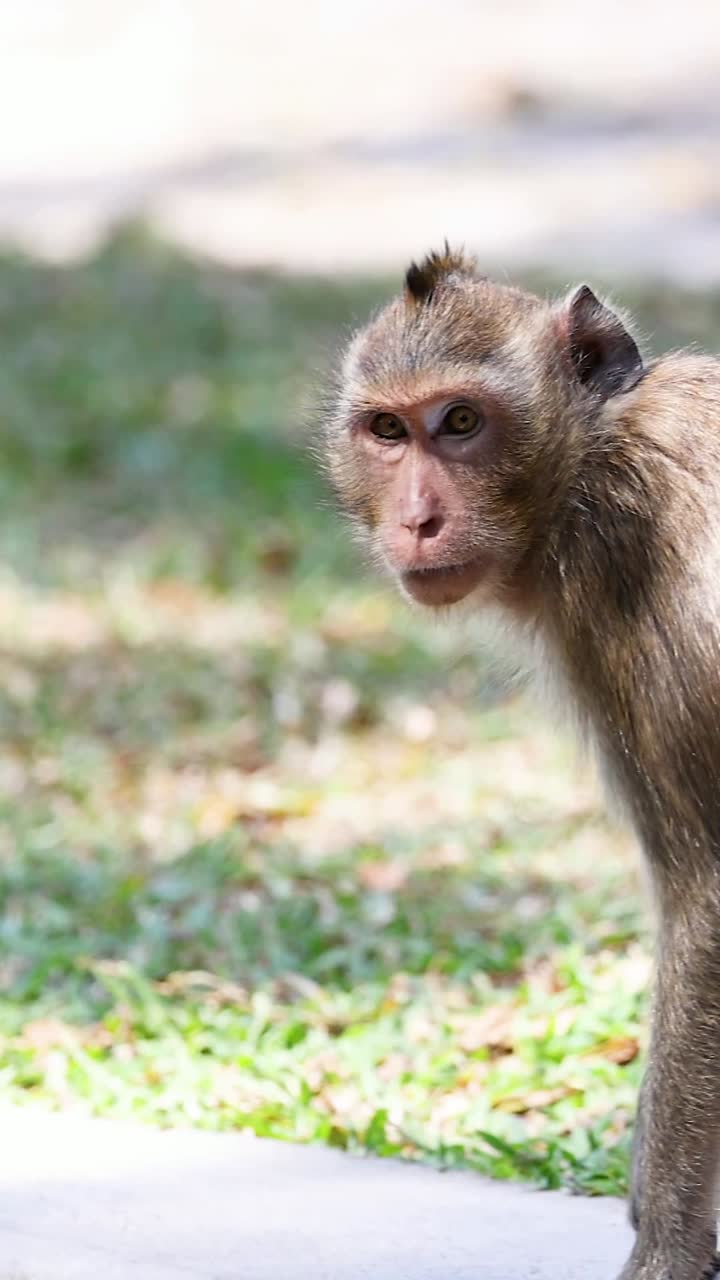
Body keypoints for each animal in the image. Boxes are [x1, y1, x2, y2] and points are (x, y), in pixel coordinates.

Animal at [321, 246, 720, 1280]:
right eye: (389, 430)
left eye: (461, 423)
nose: (418, 519)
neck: (595, 457)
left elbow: (706, 896)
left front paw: (665, 1249)